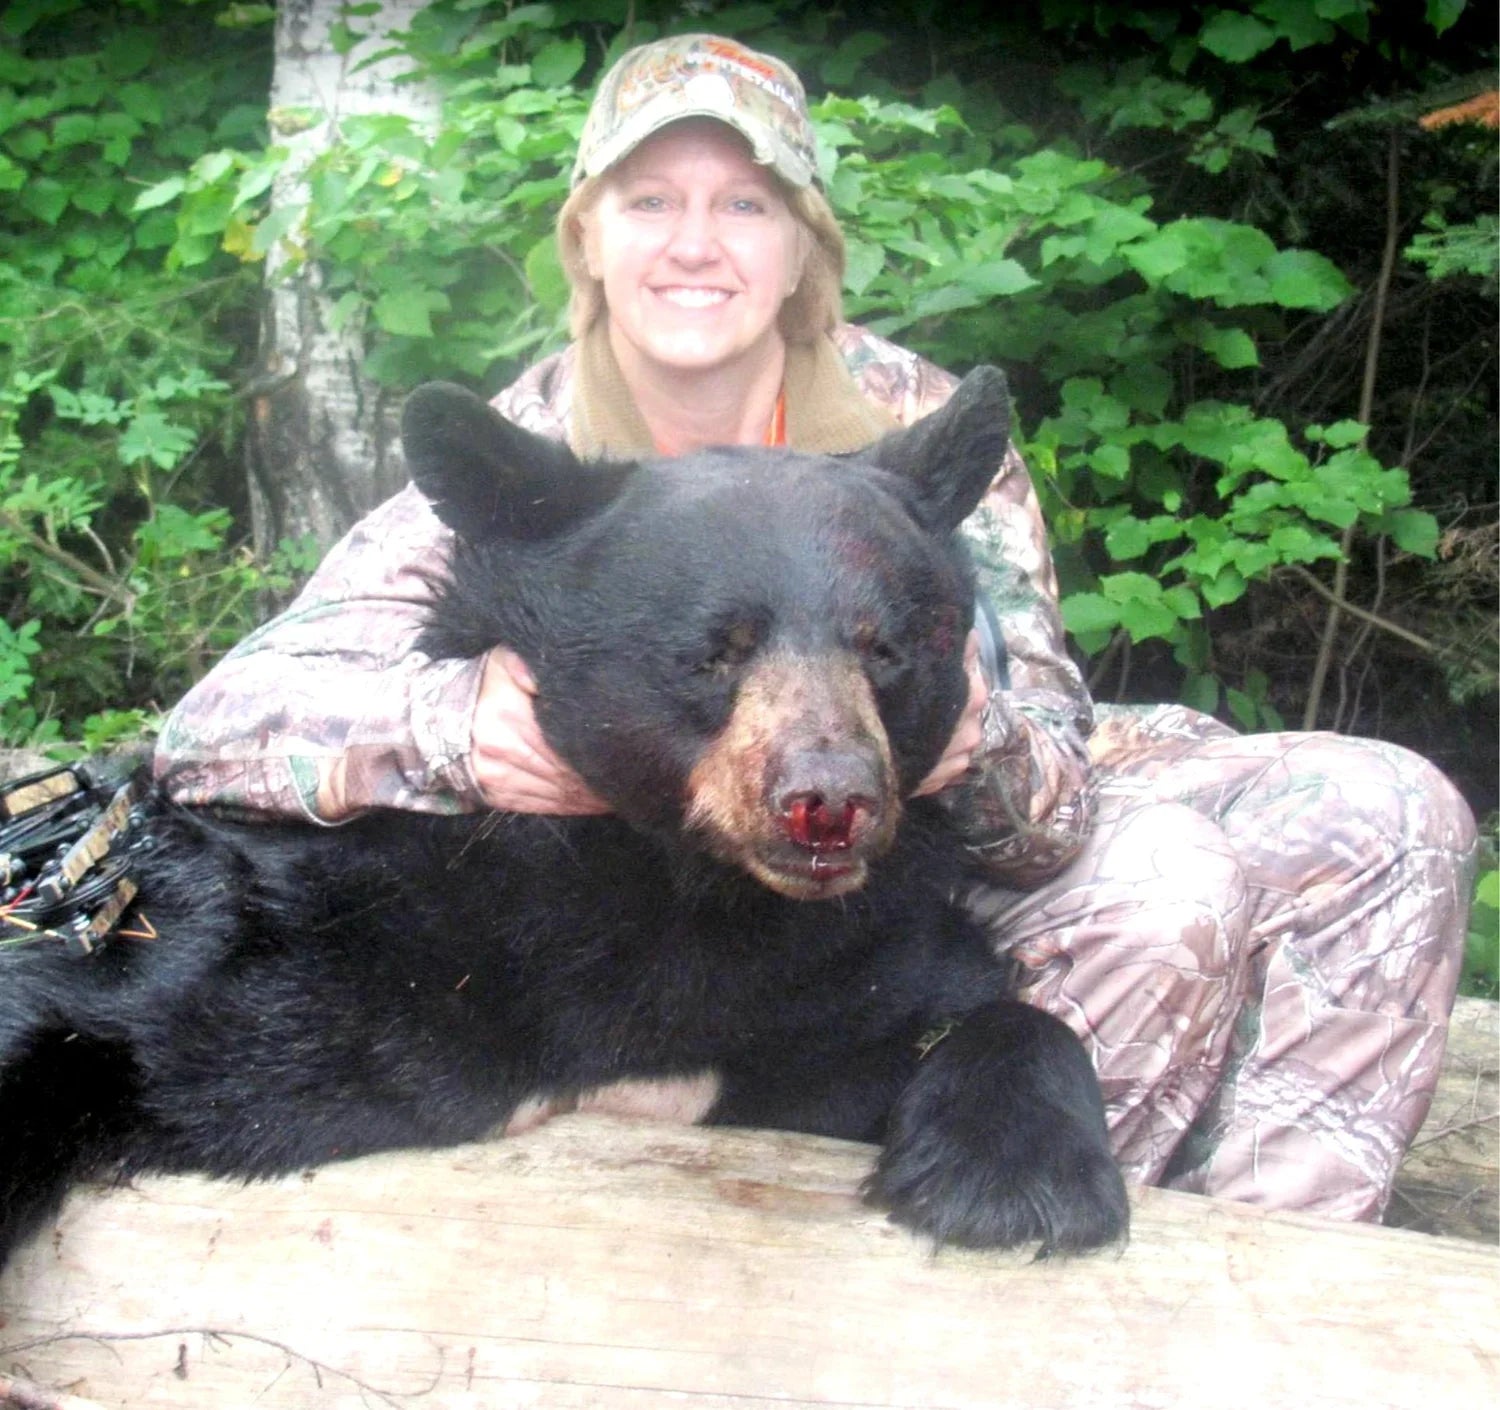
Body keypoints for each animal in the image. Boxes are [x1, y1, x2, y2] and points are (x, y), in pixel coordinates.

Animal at [0, 367, 1127, 1274]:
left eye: (886, 647)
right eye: (714, 649)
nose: (830, 801)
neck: (681, 892)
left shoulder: (837, 975)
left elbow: (972, 1003)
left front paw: (1013, 1177)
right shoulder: (331, 931)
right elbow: (102, 1007)